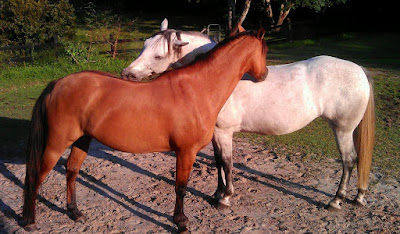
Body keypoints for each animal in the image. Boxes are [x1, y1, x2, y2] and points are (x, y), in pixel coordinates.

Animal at [22, 28, 268, 231]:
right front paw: (181, 222)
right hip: (56, 143)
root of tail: (59, 83)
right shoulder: (186, 152)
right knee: (36, 176)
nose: (264, 74)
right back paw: (30, 221)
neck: (197, 88)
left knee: (71, 171)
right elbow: (181, 187)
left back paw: (74, 213)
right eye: (265, 50)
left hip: (82, 139)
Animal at [121, 19, 376, 211]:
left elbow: (226, 162)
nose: (127, 74)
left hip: (342, 130)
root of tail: (359, 70)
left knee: (349, 161)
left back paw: (336, 201)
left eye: (158, 56)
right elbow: (218, 162)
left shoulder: (224, 133)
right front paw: (216, 193)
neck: (215, 78)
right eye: (144, 45)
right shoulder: (216, 133)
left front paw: (225, 198)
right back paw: (358, 197)